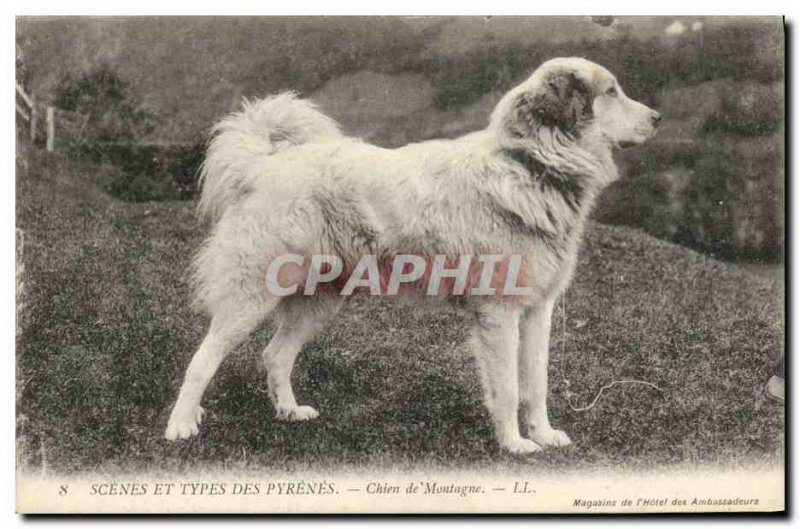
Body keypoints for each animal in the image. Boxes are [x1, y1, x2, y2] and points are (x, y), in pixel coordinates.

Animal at [164, 56, 656, 454]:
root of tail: (265, 163)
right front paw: (514, 444)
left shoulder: (538, 311)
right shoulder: (499, 314)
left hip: (321, 300)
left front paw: (543, 434)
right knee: (202, 360)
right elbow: (507, 388)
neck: (530, 165)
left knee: (275, 355)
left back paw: (288, 411)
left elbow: (536, 383)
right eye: (611, 92)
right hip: (253, 294)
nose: (658, 117)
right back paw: (181, 425)